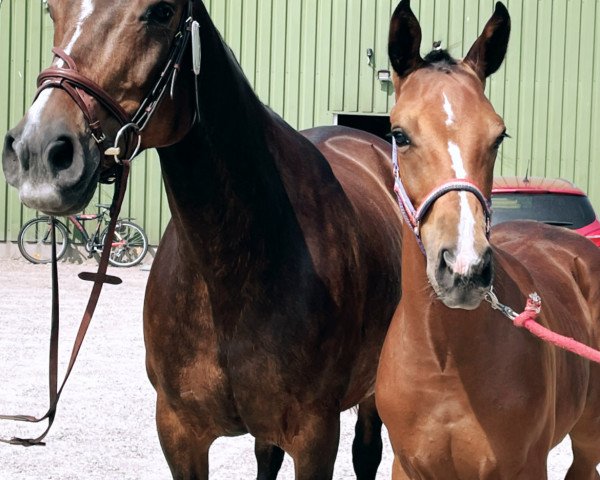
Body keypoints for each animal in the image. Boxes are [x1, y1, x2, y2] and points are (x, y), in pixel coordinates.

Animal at [2, 1, 404, 478]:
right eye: (51, 9)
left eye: (161, 12)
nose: (38, 153)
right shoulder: (179, 431)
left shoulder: (315, 437)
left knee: (367, 452)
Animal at [376, 1, 600, 478]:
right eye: (399, 135)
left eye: (499, 135)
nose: (464, 268)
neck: (445, 362)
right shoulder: (407, 465)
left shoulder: (527, 466)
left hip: (590, 434)